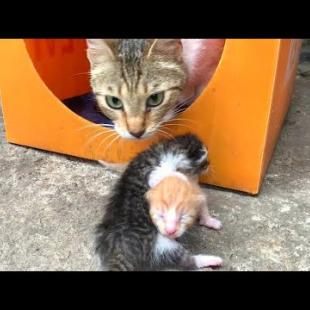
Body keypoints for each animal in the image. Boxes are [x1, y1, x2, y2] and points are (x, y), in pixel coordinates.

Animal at [95, 134, 222, 272]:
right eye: (204, 160)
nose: (209, 164)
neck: (168, 148)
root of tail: (120, 251)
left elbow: (202, 203)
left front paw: (208, 220)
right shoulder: (155, 173)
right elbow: (172, 176)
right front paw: (181, 179)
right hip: (163, 242)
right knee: (185, 260)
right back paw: (210, 260)